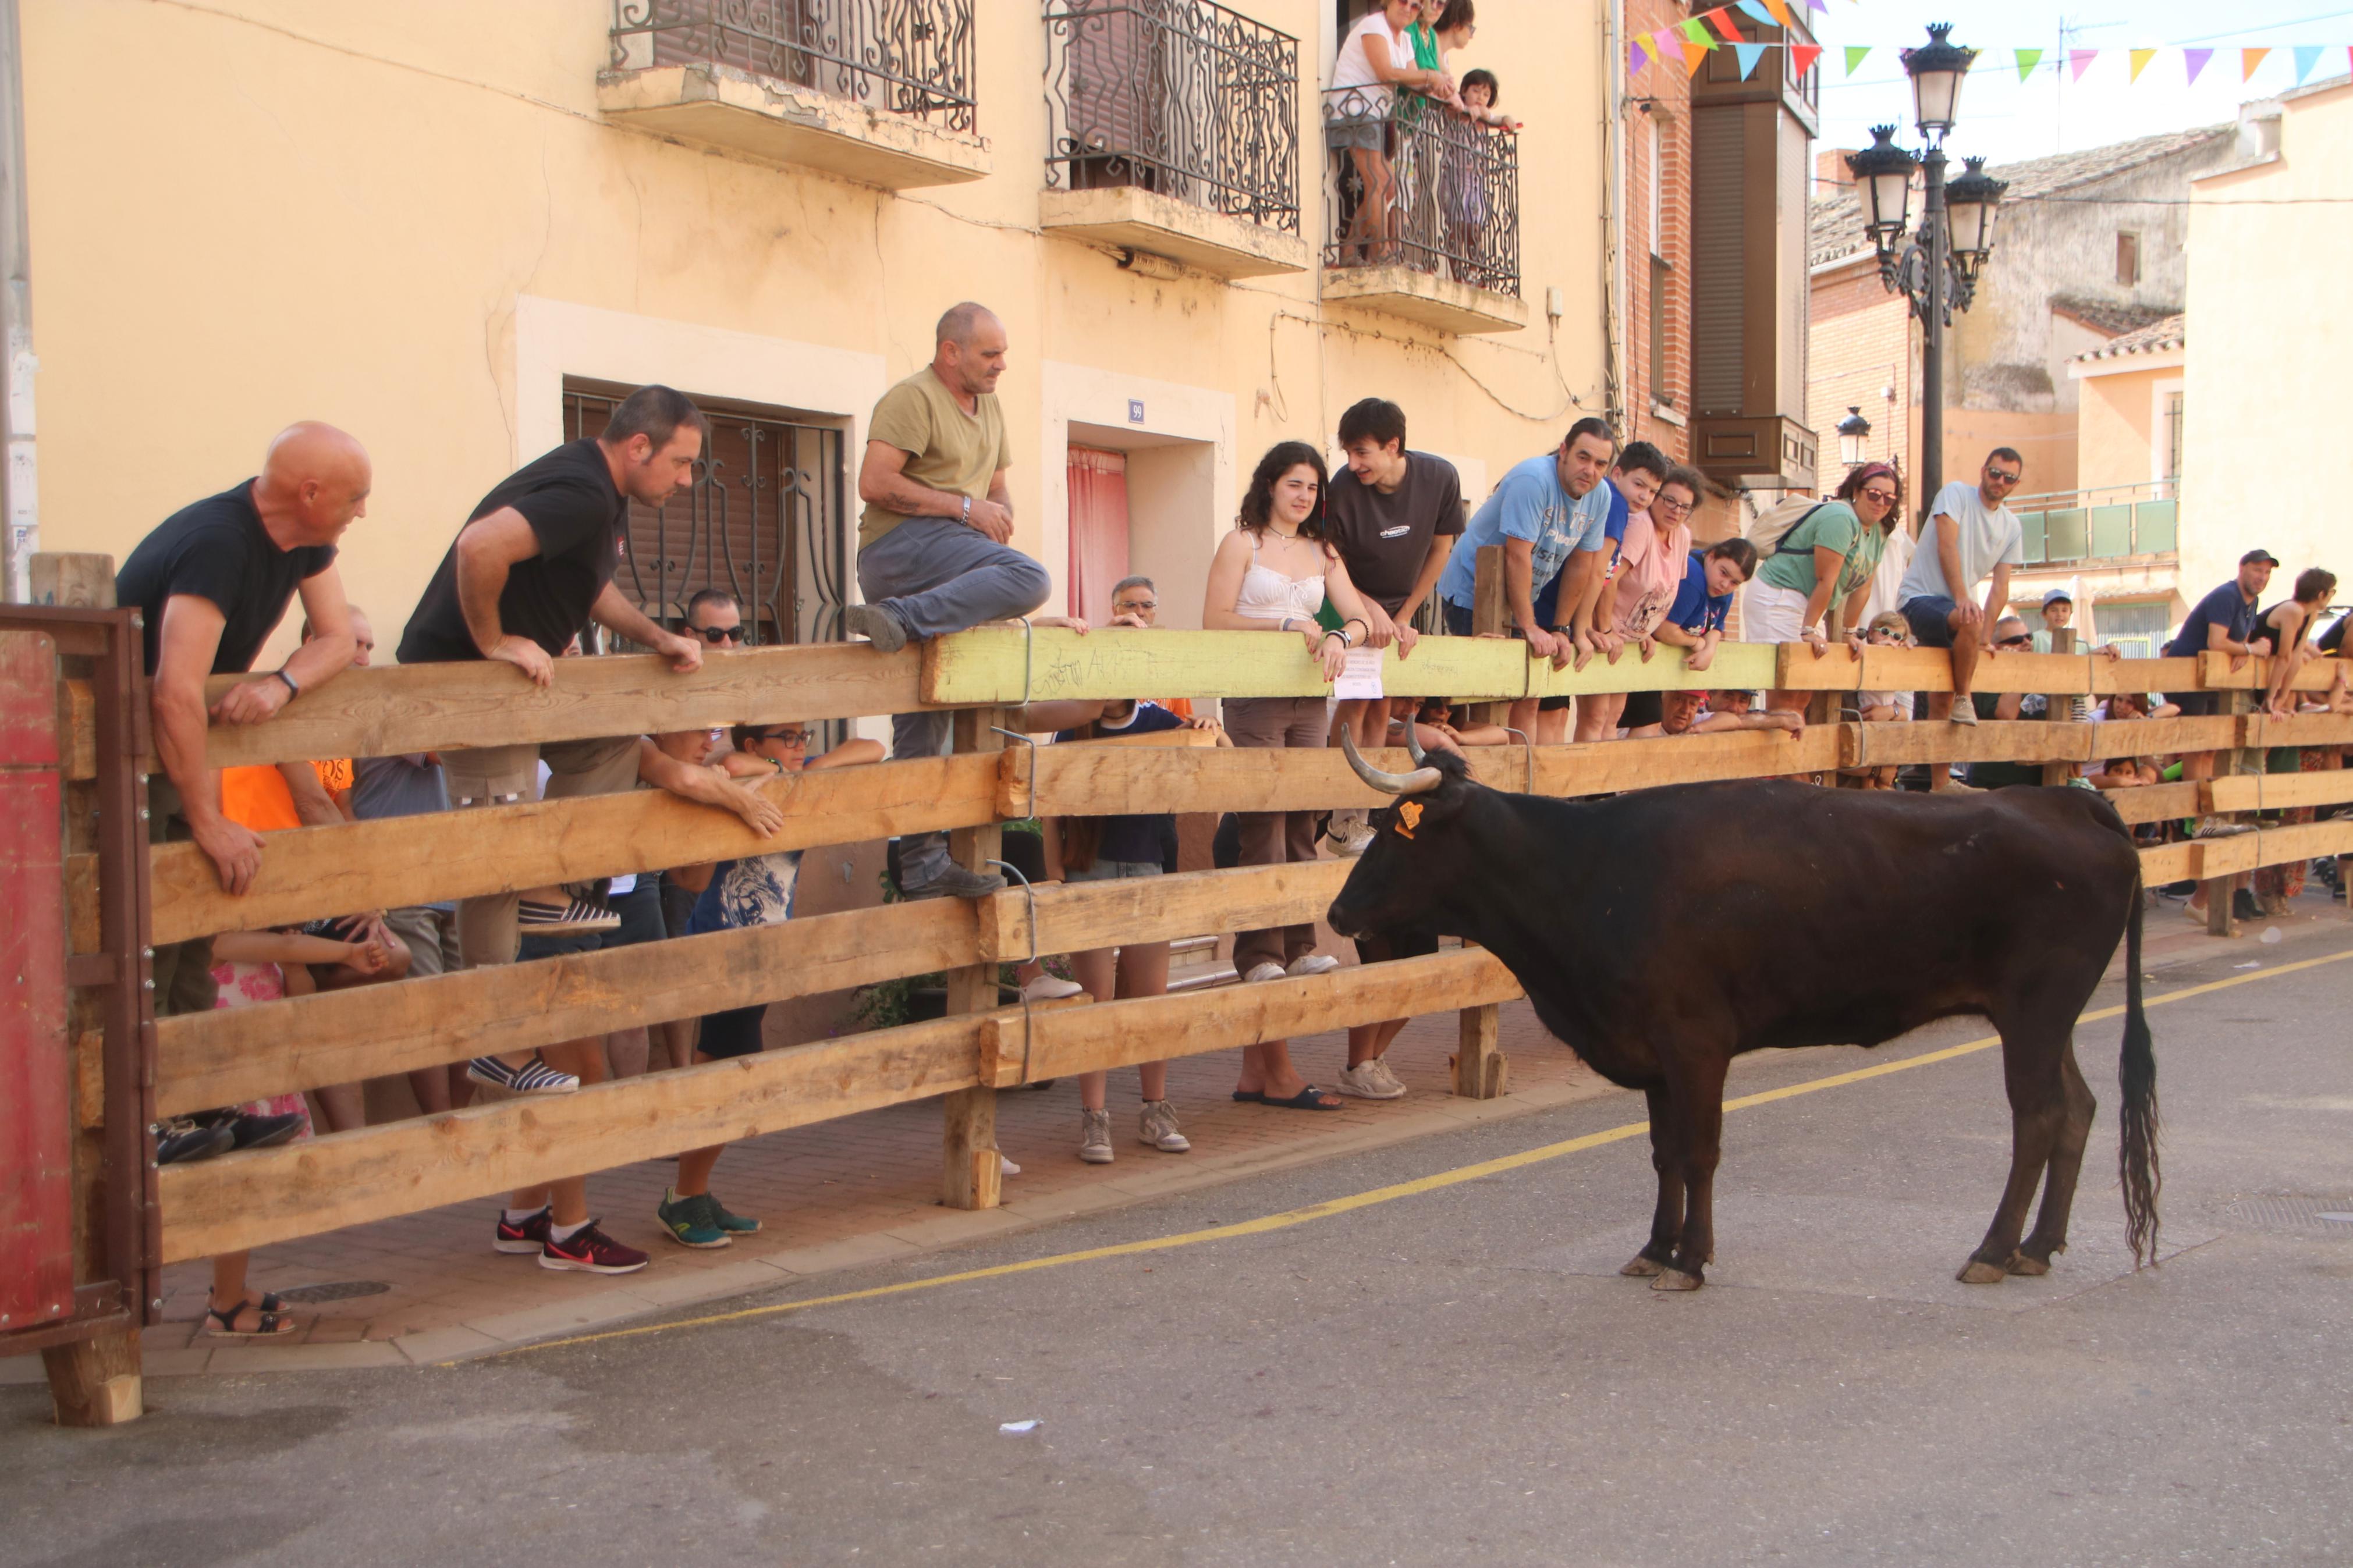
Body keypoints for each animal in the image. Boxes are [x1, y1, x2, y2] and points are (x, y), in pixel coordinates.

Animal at [1327, 728, 2155, 1297]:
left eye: (1398, 830)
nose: (1336, 913)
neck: (1589, 871)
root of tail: (2065, 798)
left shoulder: (1695, 1042)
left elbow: (1699, 1151)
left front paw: (1689, 1259)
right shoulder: (1652, 1053)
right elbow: (1663, 1153)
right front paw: (1654, 1249)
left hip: (2035, 1012)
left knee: (2037, 1118)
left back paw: (1991, 1249)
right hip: (2046, 1020)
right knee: (2076, 1109)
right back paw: (2037, 1247)